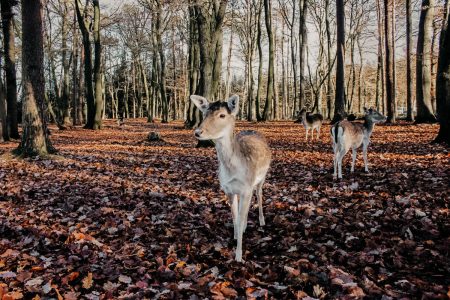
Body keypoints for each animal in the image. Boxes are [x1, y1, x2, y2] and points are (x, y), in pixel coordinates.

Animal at [190, 94, 270, 262]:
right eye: (204, 113)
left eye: (222, 115)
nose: (198, 132)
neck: (233, 170)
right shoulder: (228, 189)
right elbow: (235, 216)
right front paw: (235, 237)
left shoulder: (246, 187)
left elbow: (239, 217)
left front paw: (239, 256)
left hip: (262, 177)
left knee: (259, 195)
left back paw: (261, 221)